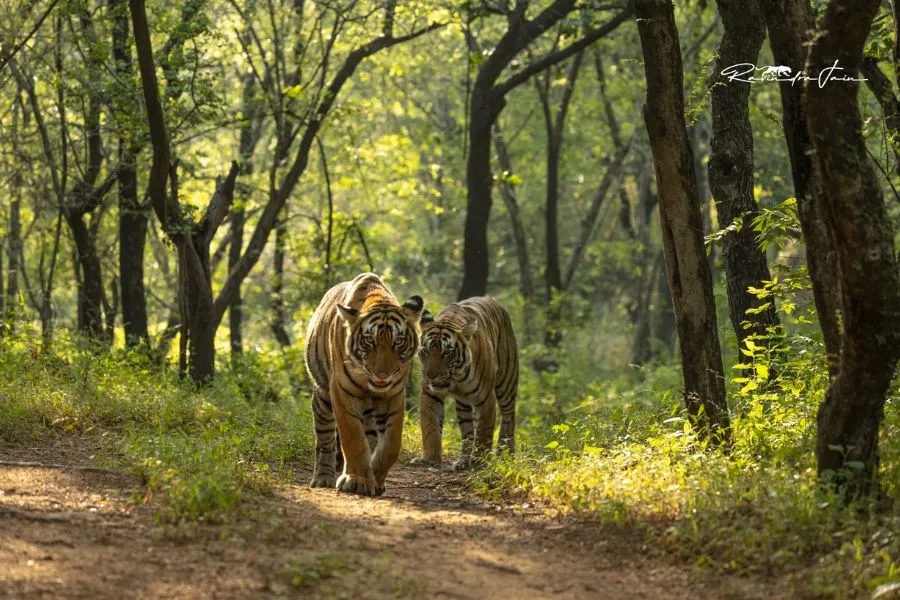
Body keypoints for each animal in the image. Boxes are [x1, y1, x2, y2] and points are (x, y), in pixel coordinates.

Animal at [306, 274, 426, 496]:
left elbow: (390, 446)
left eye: (399, 342)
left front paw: (375, 479)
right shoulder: (342, 392)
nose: (382, 375)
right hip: (323, 396)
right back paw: (323, 477)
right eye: (370, 341)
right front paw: (358, 481)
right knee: (325, 440)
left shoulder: (394, 396)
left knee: (370, 437)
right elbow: (353, 439)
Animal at [412, 298, 516, 472]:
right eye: (425, 351)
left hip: (506, 381)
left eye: (447, 353)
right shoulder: (430, 394)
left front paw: (480, 463)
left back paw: (505, 454)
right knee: (467, 431)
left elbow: (483, 432)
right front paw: (430, 459)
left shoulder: (485, 398)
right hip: (463, 404)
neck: (456, 378)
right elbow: (430, 427)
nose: (430, 376)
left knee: (509, 416)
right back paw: (463, 461)